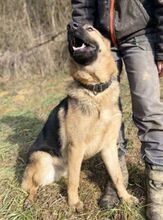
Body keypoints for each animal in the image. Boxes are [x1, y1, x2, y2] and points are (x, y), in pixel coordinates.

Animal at [21, 21, 138, 211]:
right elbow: (73, 182)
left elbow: (117, 176)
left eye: (90, 29)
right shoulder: (76, 147)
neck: (96, 91)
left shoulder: (109, 147)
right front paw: (74, 203)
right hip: (42, 159)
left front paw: (125, 198)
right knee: (33, 187)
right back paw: (30, 201)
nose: (71, 25)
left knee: (68, 174)